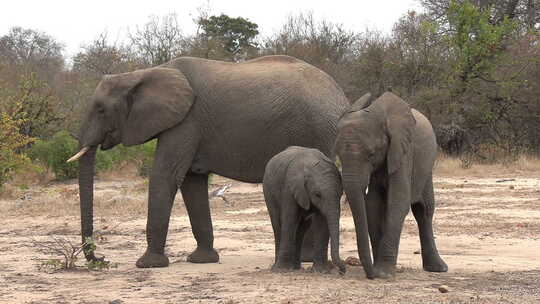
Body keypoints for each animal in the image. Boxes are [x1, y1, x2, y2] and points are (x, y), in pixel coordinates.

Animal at [262, 146, 346, 274]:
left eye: (340, 194)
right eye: (317, 195)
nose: (342, 271)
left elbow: (322, 222)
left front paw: (320, 271)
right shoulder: (289, 188)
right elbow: (289, 220)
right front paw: (282, 270)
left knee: (301, 229)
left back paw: (296, 267)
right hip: (268, 191)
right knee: (277, 225)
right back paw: (277, 267)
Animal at [338, 92, 448, 278]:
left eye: (371, 154)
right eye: (338, 155)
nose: (371, 274)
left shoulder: (404, 151)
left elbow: (398, 202)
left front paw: (383, 273)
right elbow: (373, 205)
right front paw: (379, 270)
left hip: (427, 168)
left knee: (424, 210)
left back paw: (438, 268)